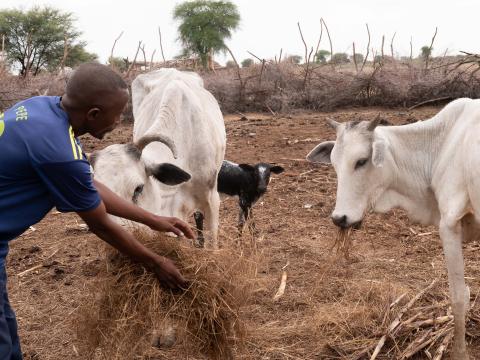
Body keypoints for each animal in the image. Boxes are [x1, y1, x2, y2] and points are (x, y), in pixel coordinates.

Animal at [308, 97, 480, 358]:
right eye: (335, 164)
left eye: (361, 161)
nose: (340, 218)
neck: (441, 143)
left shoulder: (449, 224)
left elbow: (459, 297)